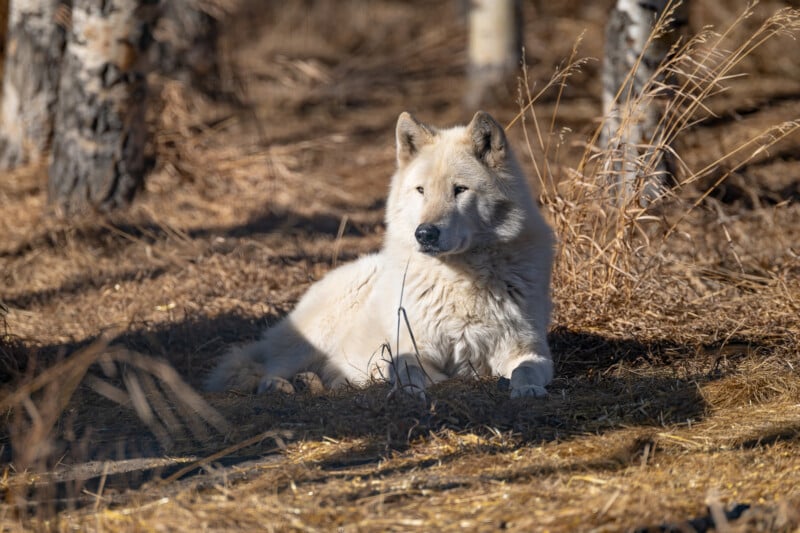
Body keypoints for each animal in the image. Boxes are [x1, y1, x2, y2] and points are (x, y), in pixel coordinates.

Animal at [205, 111, 555, 399]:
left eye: (460, 190)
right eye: (421, 190)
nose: (424, 234)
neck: (459, 279)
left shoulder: (528, 348)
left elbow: (526, 369)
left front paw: (527, 389)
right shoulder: (412, 347)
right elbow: (411, 370)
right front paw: (413, 387)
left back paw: (316, 382)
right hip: (316, 334)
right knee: (270, 369)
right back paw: (283, 385)